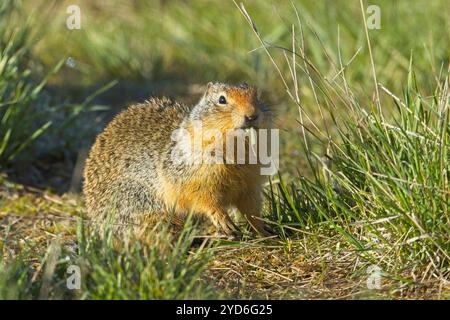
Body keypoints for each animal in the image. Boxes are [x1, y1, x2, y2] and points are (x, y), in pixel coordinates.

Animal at [83, 82, 274, 240]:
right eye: (222, 99)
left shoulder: (250, 185)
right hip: (142, 206)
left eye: (257, 95)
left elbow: (252, 210)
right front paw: (223, 220)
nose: (252, 115)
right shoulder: (194, 177)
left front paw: (264, 231)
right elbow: (203, 199)